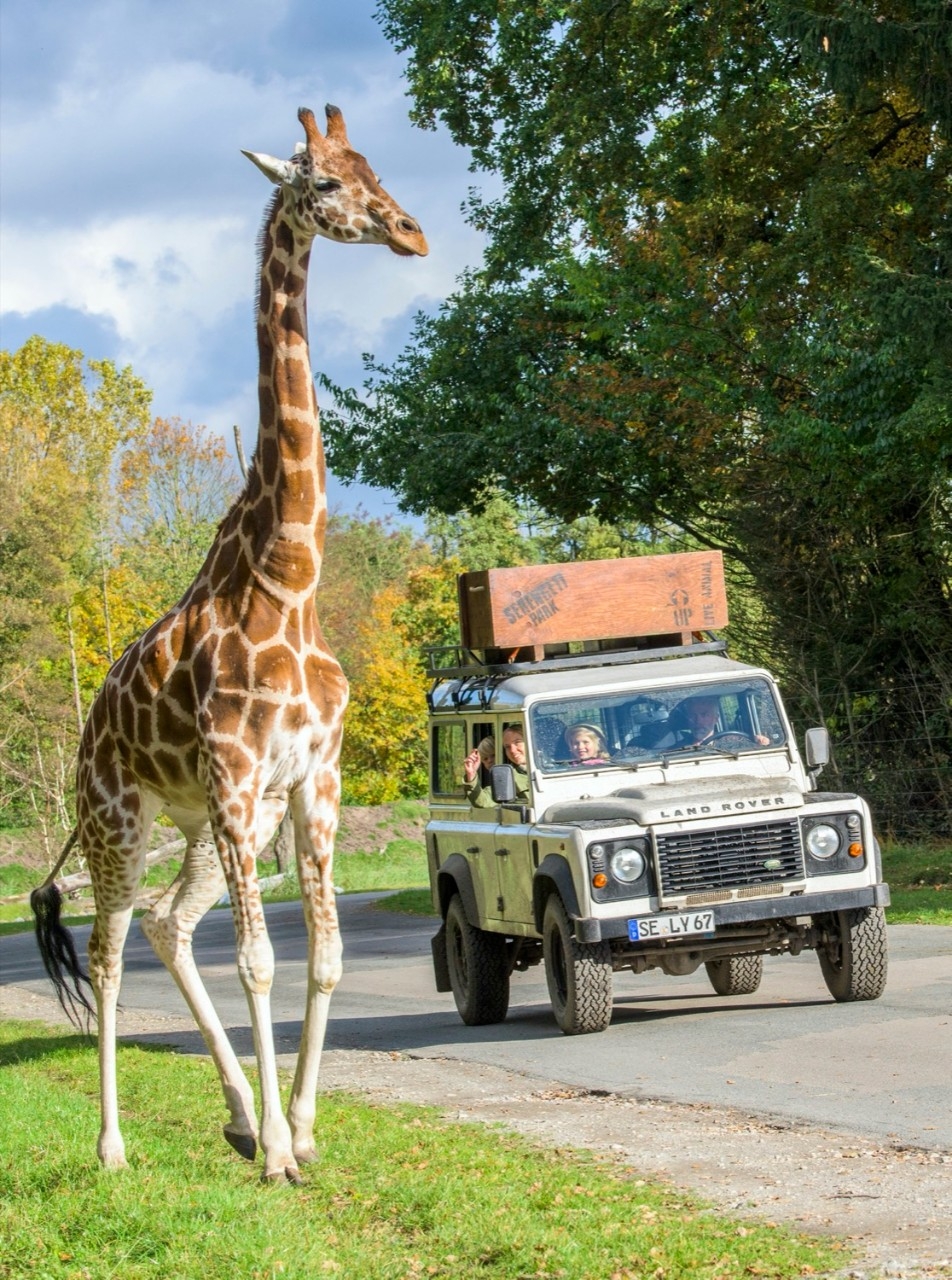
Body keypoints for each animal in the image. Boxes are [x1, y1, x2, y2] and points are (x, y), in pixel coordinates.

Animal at [30, 104, 427, 1183]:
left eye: (373, 165)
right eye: (323, 183)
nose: (411, 233)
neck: (288, 580)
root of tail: (88, 733)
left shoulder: (312, 777)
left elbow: (323, 955)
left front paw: (301, 1129)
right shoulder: (240, 769)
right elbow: (259, 957)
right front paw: (283, 1155)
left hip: (205, 822)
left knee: (170, 925)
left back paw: (243, 1115)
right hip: (122, 817)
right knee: (112, 945)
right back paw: (114, 1147)